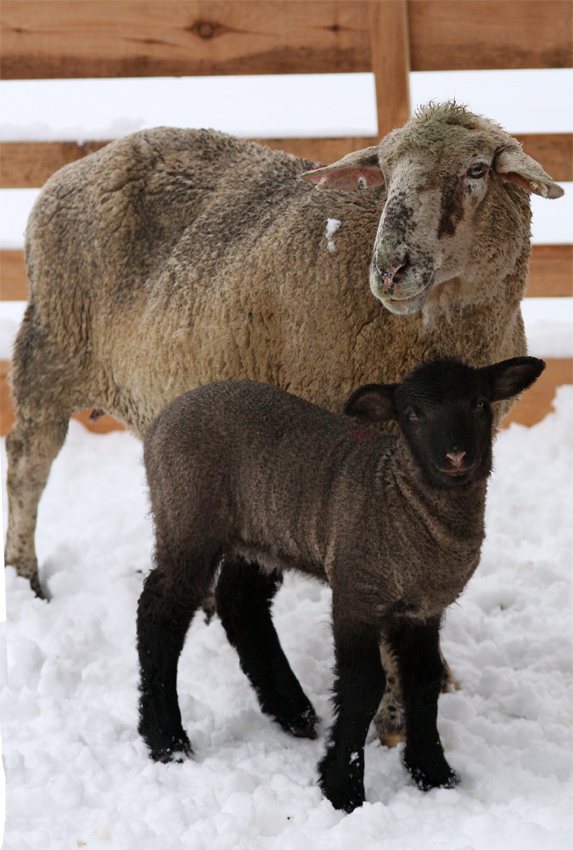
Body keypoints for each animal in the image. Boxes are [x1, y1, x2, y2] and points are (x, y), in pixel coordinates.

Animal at [3, 101, 560, 744]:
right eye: (385, 169)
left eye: (475, 170)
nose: (389, 269)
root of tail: (83, 163)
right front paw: (395, 716)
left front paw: (435, 675)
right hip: (52, 346)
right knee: (28, 463)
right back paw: (25, 578)